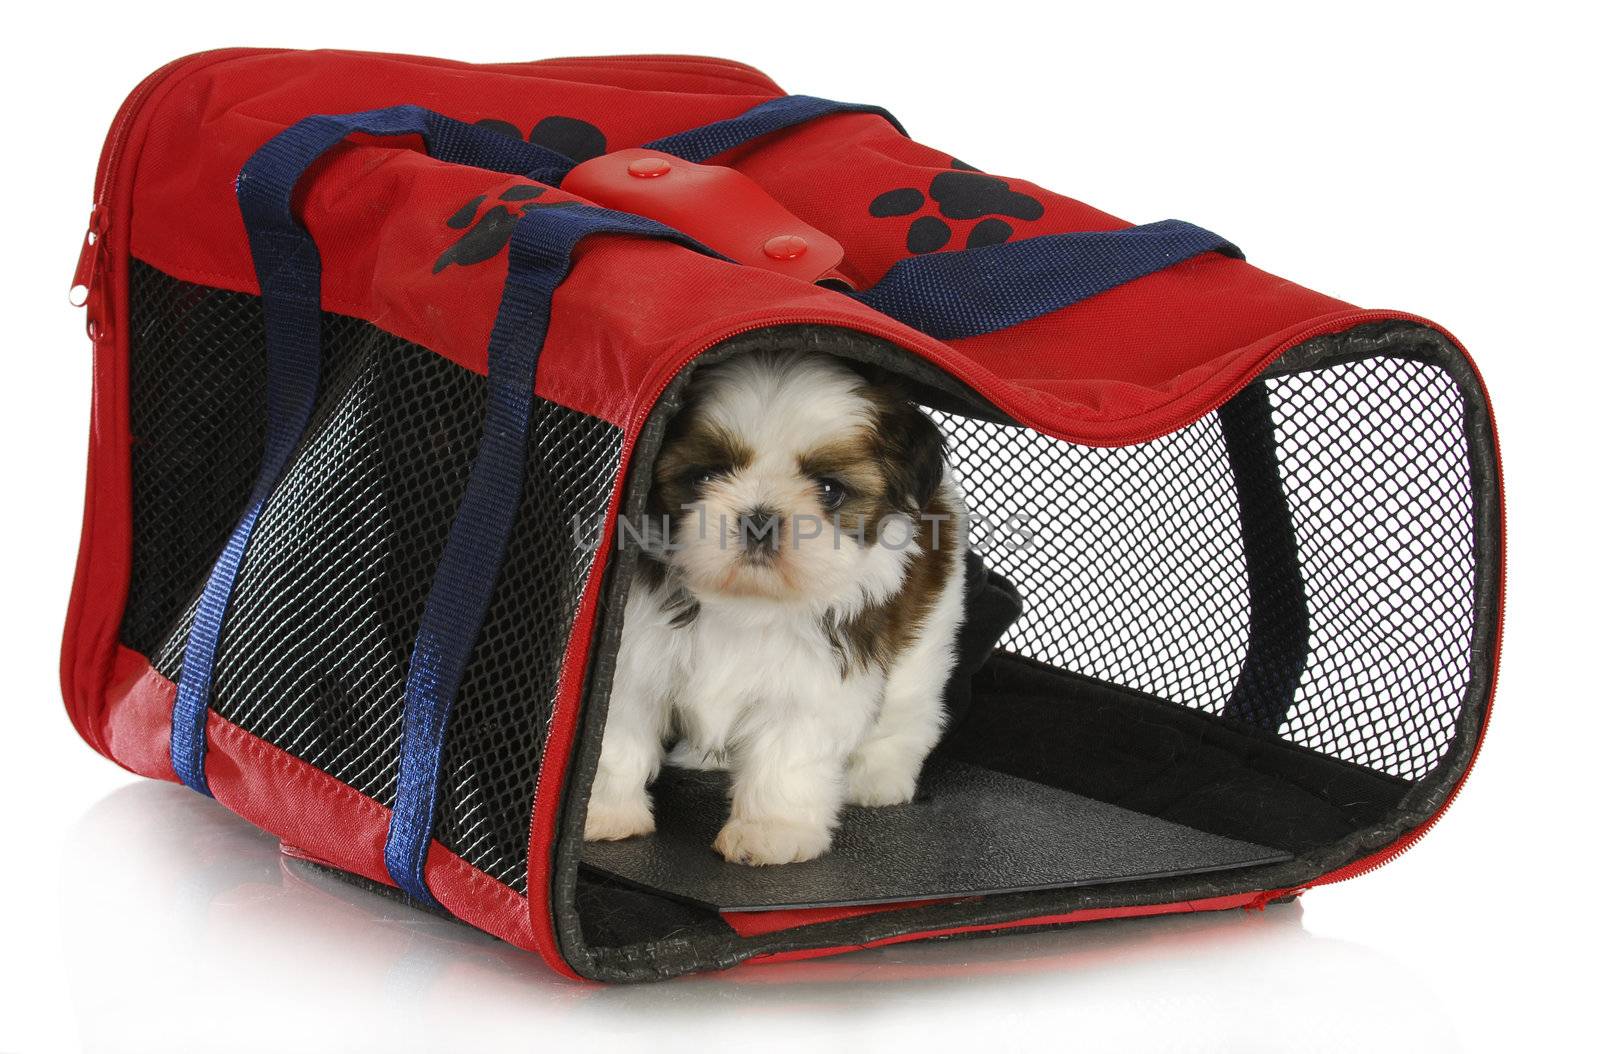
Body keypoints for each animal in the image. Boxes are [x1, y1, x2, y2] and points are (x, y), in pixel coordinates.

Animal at [585, 350, 966, 863]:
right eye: (705, 476)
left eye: (829, 489)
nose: (760, 518)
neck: (746, 601)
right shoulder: (636, 653)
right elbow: (618, 734)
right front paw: (605, 813)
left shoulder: (818, 677)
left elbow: (789, 753)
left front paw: (771, 831)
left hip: (930, 624)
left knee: (910, 704)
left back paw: (877, 777)